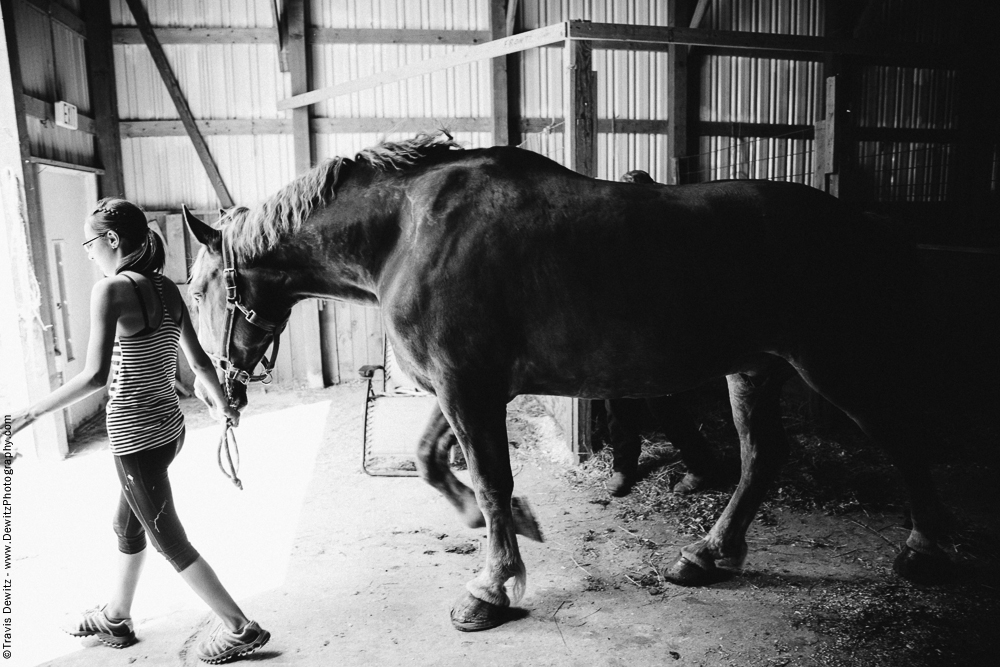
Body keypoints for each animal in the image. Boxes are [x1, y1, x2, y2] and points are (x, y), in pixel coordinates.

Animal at [186, 130, 952, 632]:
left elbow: (489, 478)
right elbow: (435, 463)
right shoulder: (458, 387)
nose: (221, 385)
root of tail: (868, 224)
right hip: (754, 368)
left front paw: (490, 588)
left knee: (905, 439)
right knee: (763, 456)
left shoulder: (468, 387)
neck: (407, 230)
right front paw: (504, 526)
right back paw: (708, 555)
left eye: (202, 291)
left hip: (836, 364)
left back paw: (921, 552)